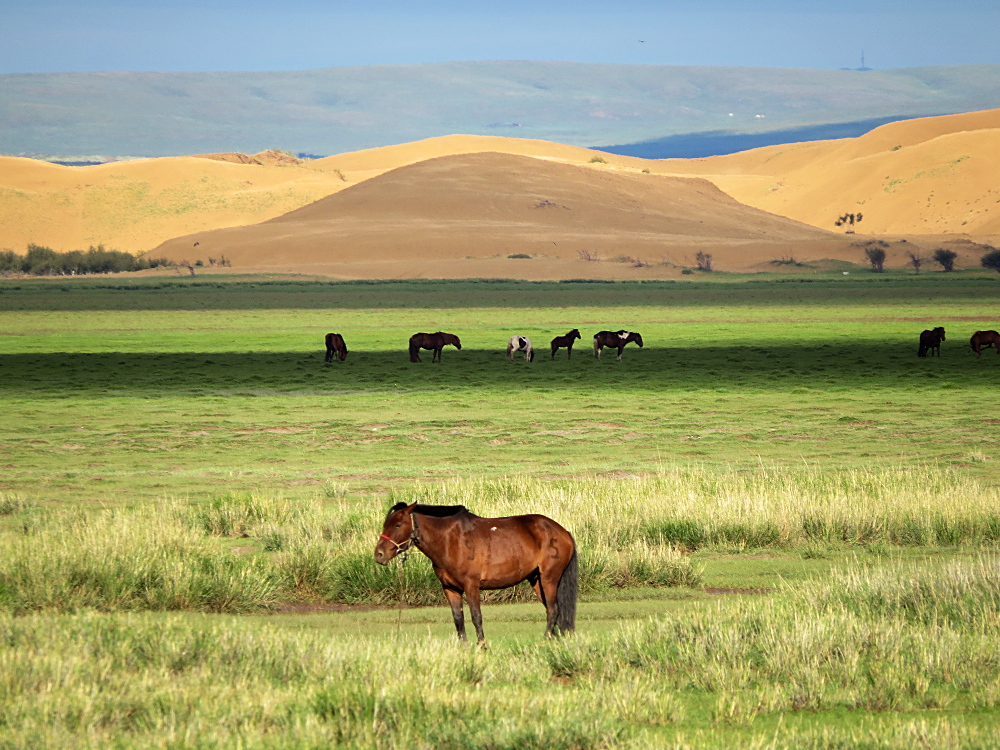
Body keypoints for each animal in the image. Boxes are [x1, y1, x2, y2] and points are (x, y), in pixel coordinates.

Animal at [376, 502, 580, 644]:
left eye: (397, 524)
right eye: (386, 524)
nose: (379, 554)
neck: (450, 540)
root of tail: (563, 532)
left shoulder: (471, 586)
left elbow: (476, 616)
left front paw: (482, 646)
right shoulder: (450, 588)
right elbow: (458, 618)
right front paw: (464, 646)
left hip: (549, 579)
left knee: (553, 610)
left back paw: (545, 640)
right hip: (536, 580)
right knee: (551, 610)